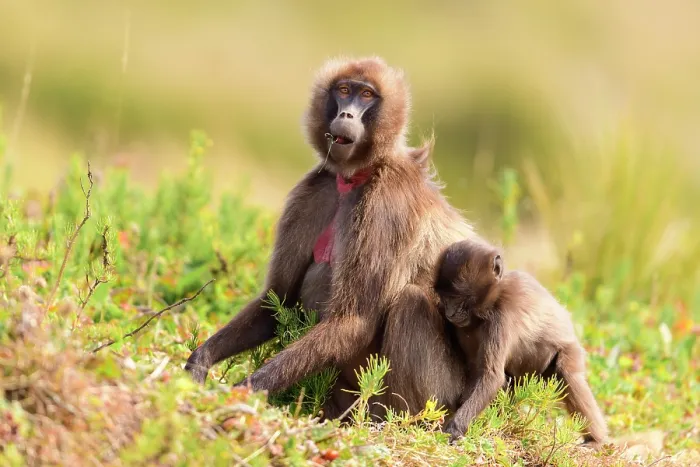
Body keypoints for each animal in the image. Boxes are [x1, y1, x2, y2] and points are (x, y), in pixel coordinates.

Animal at [184, 56, 490, 420]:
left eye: (367, 95)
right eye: (344, 91)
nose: (346, 115)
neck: (357, 176)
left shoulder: (385, 204)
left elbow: (353, 322)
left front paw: (242, 392)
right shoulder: (314, 190)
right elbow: (277, 300)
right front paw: (199, 363)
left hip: (442, 395)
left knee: (410, 302)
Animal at [433, 240, 608, 446]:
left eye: (457, 298)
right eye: (445, 298)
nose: (449, 313)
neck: (494, 300)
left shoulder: (502, 317)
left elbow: (491, 376)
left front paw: (455, 427)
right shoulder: (462, 326)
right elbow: (477, 370)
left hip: (569, 349)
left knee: (568, 376)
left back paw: (596, 440)